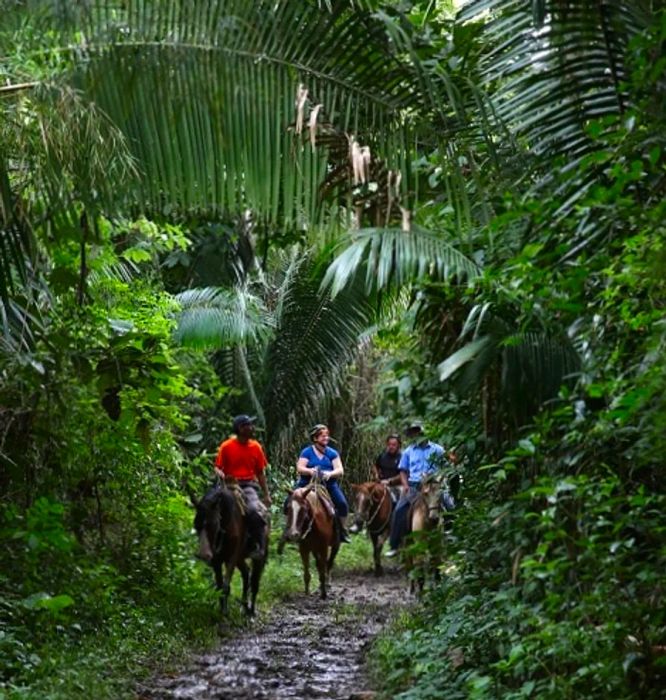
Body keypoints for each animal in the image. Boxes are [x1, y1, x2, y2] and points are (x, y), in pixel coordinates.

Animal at [192, 478, 268, 616]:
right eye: (196, 525)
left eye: (213, 523)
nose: (204, 555)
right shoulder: (217, 560)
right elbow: (219, 585)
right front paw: (222, 609)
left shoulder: (231, 558)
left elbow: (226, 586)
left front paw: (225, 612)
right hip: (240, 557)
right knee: (246, 572)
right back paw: (244, 605)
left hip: (259, 557)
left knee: (255, 581)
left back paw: (251, 610)